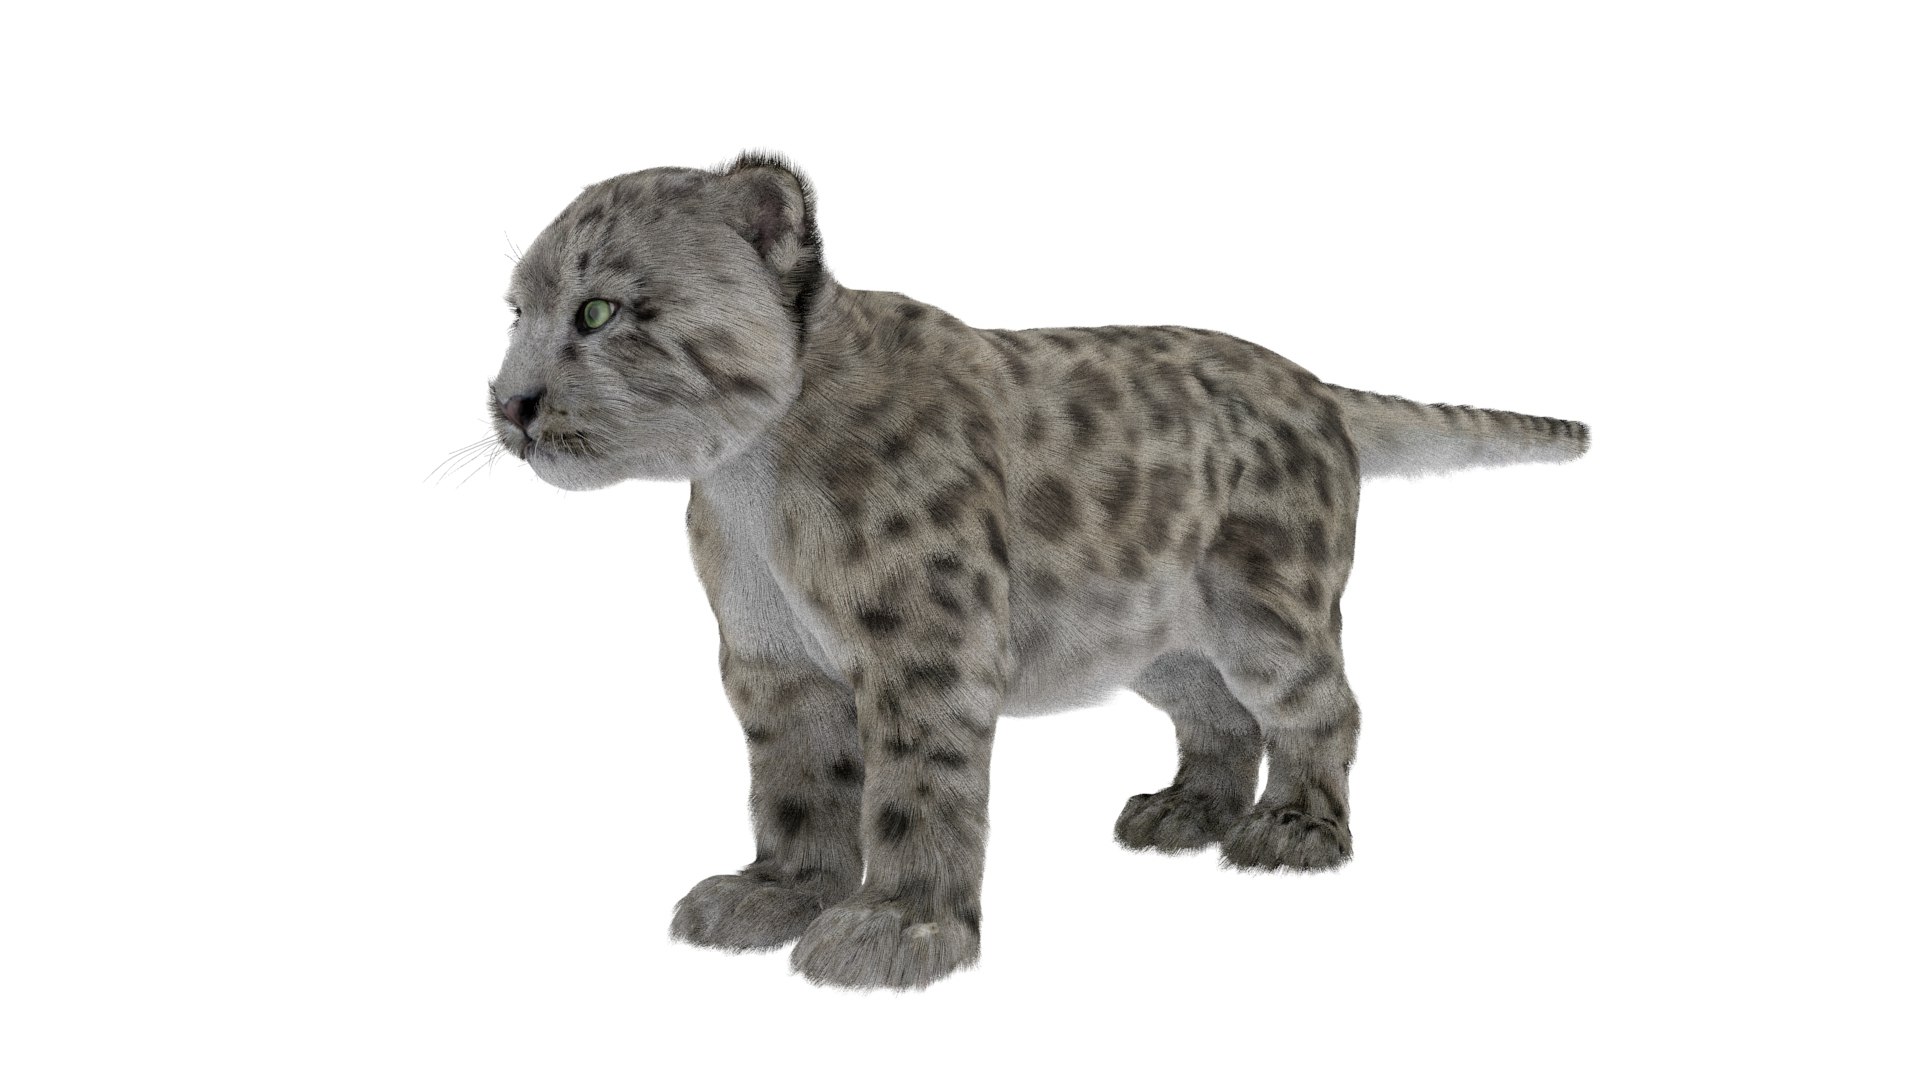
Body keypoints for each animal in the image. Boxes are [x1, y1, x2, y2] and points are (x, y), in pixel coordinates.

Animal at [484, 152, 1589, 990]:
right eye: (515, 312)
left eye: (597, 312)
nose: (510, 404)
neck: (749, 483)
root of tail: (1314, 386)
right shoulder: (774, 664)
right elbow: (794, 784)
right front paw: (777, 893)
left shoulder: (925, 650)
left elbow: (917, 789)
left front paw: (900, 929)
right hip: (1161, 636)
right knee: (1218, 716)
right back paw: (1184, 811)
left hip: (1267, 609)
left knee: (1324, 707)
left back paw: (1293, 830)